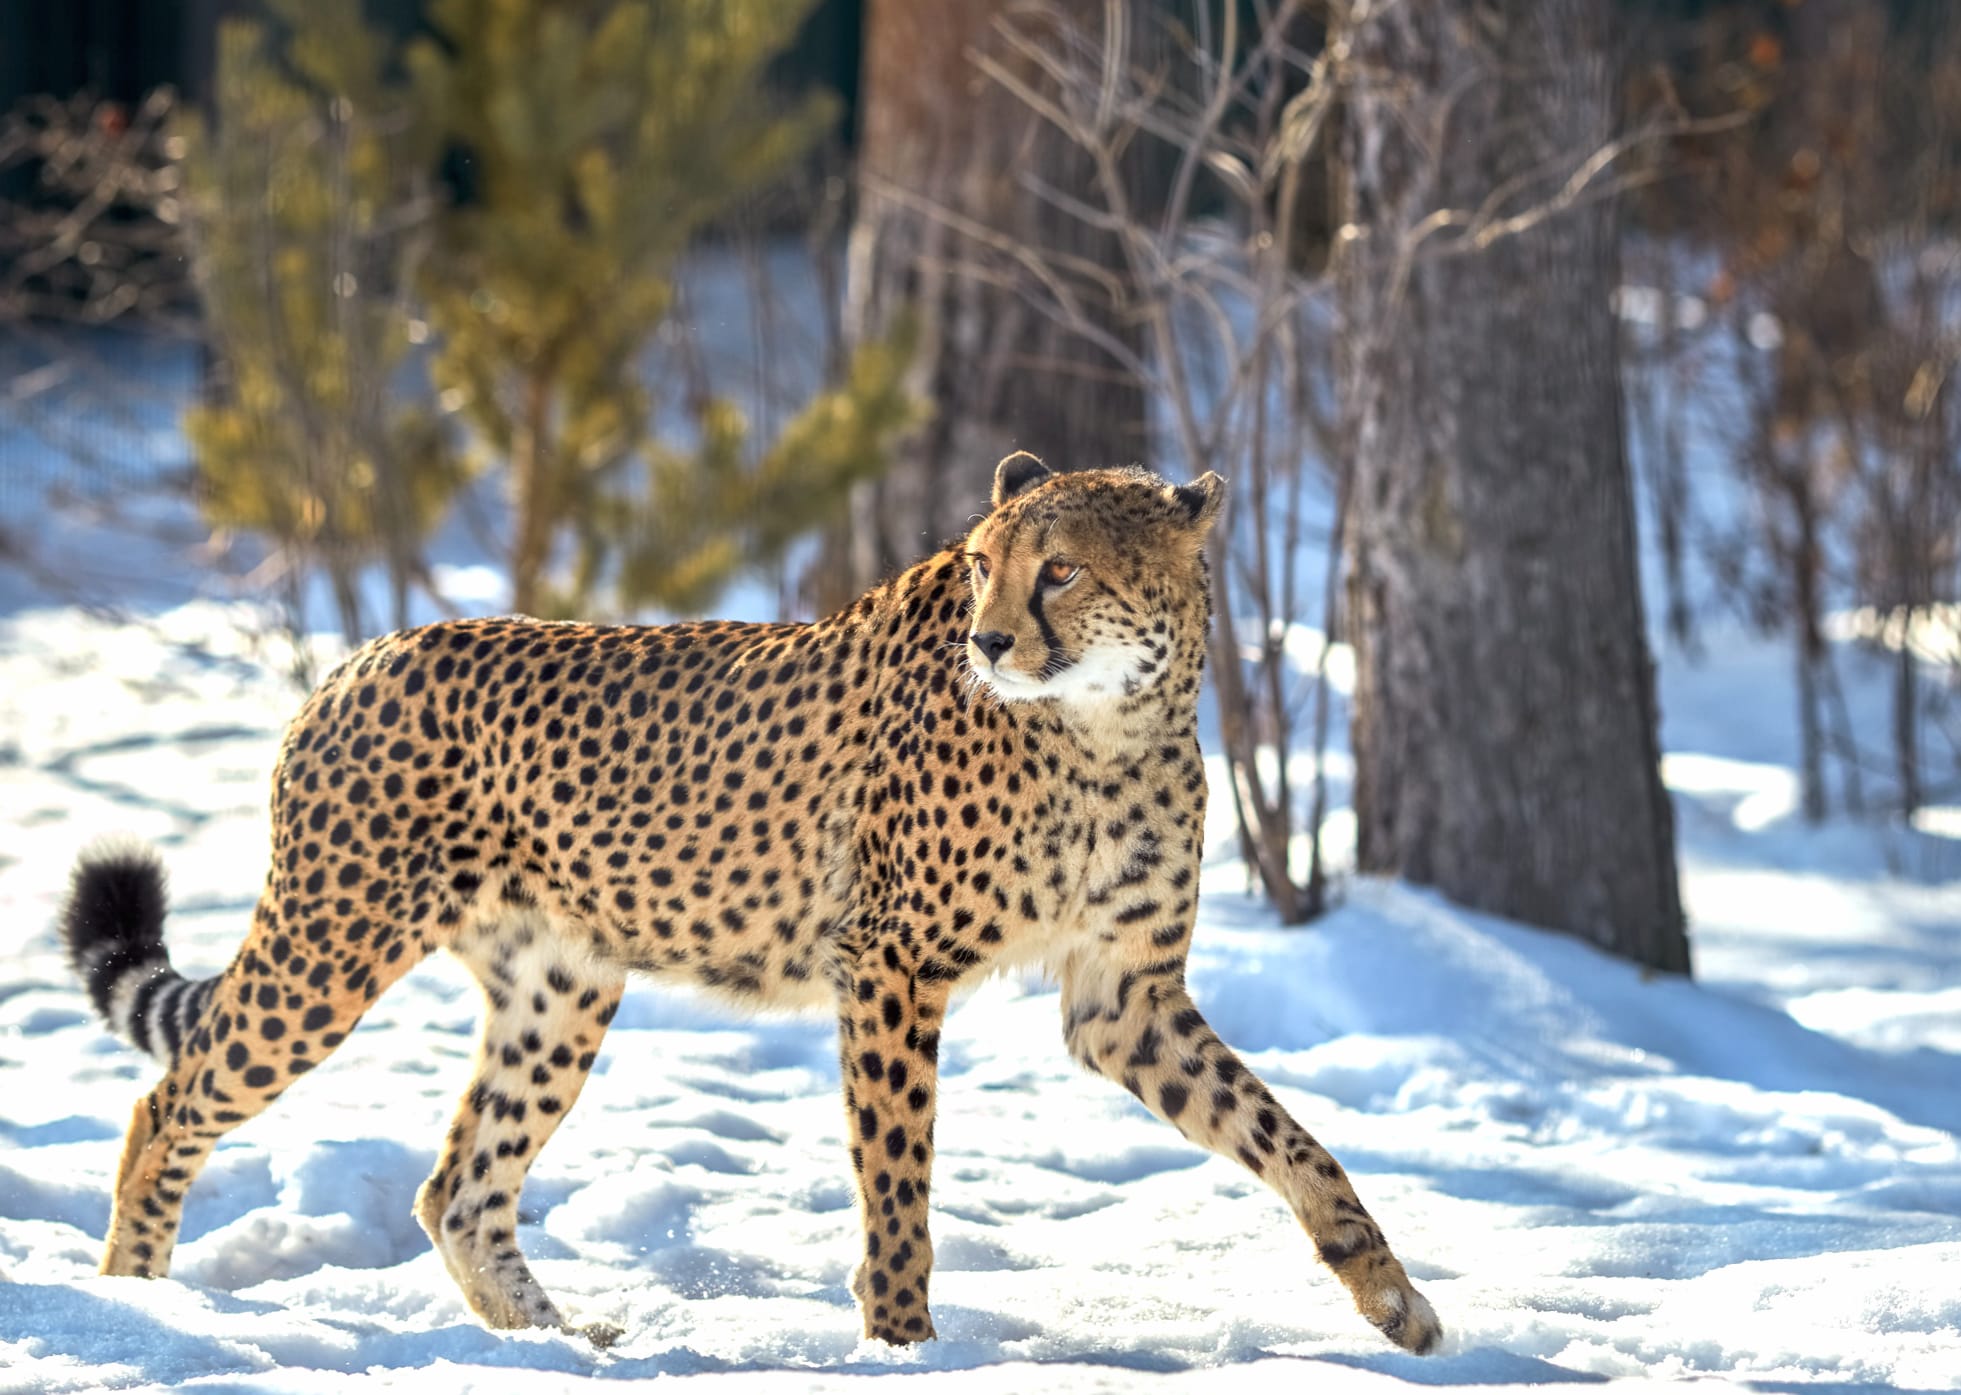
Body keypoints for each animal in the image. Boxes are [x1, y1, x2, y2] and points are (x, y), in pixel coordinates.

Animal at [61, 459, 1443, 1349]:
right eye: (981, 567)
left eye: (1058, 570)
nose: (990, 641)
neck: (1103, 726)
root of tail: (363, 655)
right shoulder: (889, 965)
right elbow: (898, 1183)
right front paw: (905, 1347)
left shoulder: (1123, 997)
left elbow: (1286, 1136)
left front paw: (1389, 1295)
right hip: (333, 951)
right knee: (166, 1104)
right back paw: (139, 1305)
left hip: (562, 989)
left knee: (459, 1186)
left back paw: (561, 1347)